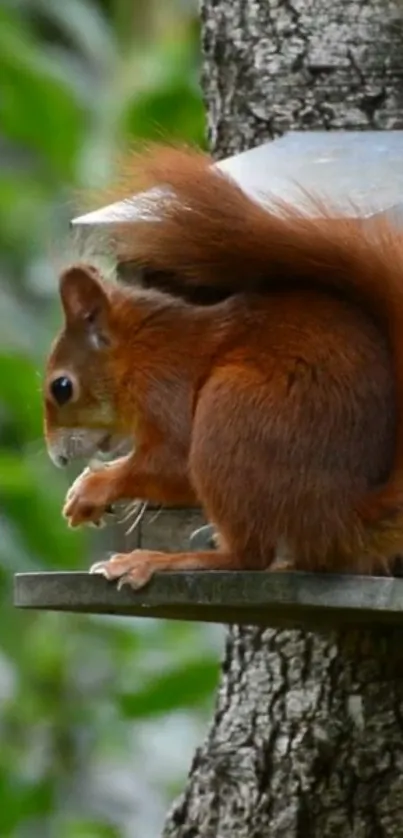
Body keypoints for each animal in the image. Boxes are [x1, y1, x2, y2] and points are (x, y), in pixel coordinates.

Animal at [43, 144, 403, 592]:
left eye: (61, 387)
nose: (57, 458)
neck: (140, 352)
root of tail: (344, 516)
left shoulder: (165, 385)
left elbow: (173, 464)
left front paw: (95, 486)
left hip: (230, 416)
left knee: (247, 557)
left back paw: (158, 560)